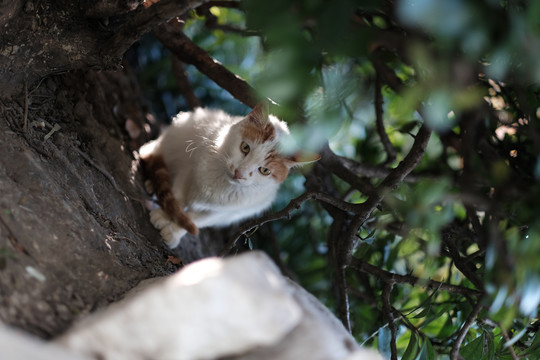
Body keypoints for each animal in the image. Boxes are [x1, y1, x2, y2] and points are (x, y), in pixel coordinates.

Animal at [139, 101, 320, 248]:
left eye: (265, 171)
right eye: (245, 147)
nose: (239, 173)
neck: (221, 182)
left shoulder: (224, 212)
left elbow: (197, 220)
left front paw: (174, 231)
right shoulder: (188, 169)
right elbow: (178, 196)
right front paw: (165, 214)